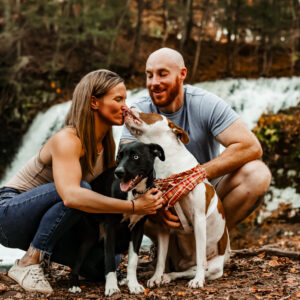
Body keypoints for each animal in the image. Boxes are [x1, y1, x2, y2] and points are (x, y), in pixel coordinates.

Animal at [69, 141, 164, 296]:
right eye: (119, 157)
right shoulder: (110, 228)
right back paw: (74, 284)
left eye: (136, 156)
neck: (134, 193)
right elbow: (109, 261)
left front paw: (133, 284)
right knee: (77, 261)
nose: (118, 172)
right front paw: (111, 287)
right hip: (91, 236)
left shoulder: (138, 229)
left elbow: (133, 260)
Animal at [123, 107, 230, 288]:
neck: (168, 168)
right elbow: (160, 259)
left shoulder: (198, 219)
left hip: (214, 268)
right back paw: (162, 276)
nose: (131, 107)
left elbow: (200, 257)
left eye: (151, 113)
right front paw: (156, 277)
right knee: (174, 266)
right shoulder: (163, 226)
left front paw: (198, 280)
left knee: (193, 269)